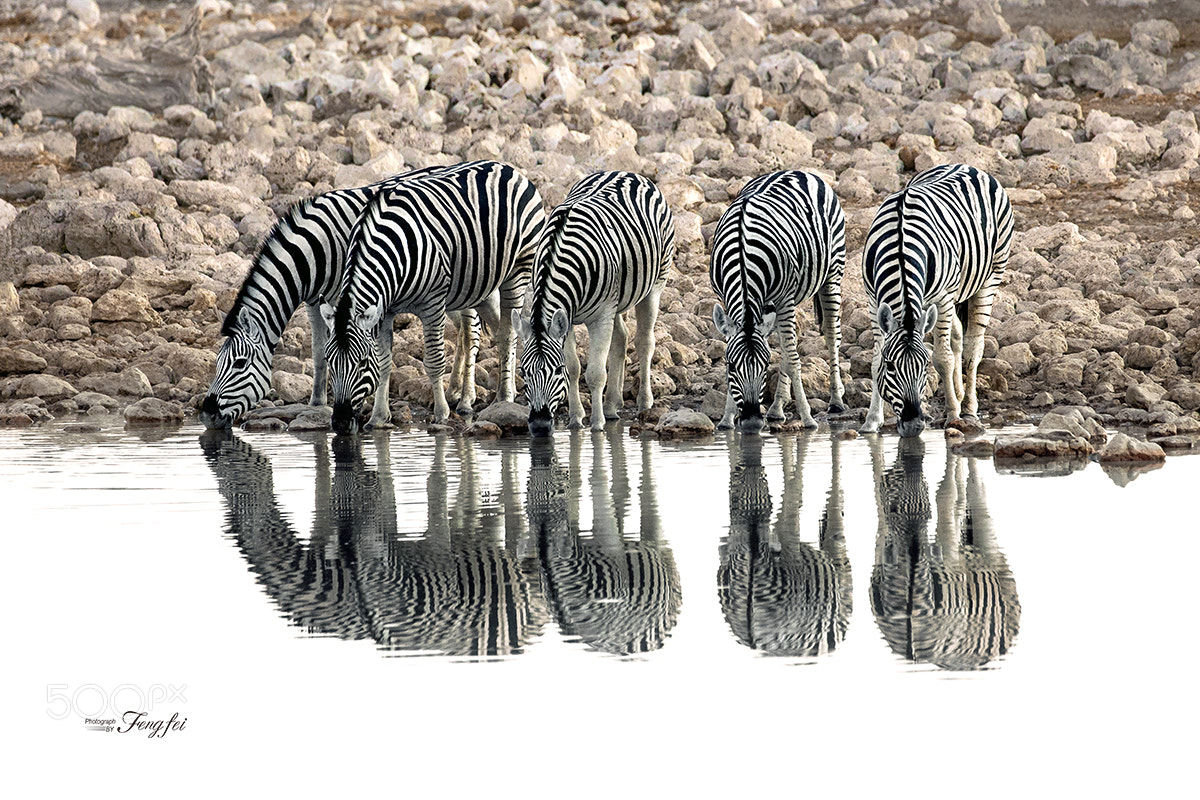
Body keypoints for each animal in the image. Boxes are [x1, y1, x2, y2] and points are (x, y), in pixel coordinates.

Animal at [199, 164, 483, 430]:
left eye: (239, 363)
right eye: (216, 362)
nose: (207, 415)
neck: (315, 252)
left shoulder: (345, 300)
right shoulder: (315, 302)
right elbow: (318, 353)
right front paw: (317, 403)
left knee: (471, 330)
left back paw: (466, 399)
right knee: (461, 330)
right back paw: (453, 390)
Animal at [323, 160, 545, 434]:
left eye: (363, 362)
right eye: (329, 361)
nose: (341, 423)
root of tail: (507, 167)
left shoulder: (432, 303)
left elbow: (433, 361)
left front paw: (441, 413)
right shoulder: (385, 311)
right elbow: (385, 362)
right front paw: (378, 416)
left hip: (518, 270)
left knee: (506, 334)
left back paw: (503, 398)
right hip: (478, 285)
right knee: (493, 331)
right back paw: (498, 393)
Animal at [512, 171, 674, 436]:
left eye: (555, 370)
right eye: (523, 372)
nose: (539, 426)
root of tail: (625, 172)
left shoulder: (600, 316)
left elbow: (596, 373)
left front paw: (596, 425)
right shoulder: (566, 319)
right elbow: (575, 368)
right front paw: (576, 419)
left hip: (655, 284)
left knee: (644, 342)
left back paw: (643, 402)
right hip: (617, 299)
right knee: (621, 337)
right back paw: (612, 405)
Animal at [709, 170, 847, 434]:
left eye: (764, 366)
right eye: (731, 366)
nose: (752, 422)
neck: (742, 257)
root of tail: (798, 171)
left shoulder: (784, 300)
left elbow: (793, 359)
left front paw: (808, 418)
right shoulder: (729, 298)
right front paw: (727, 418)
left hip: (831, 275)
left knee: (831, 334)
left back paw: (835, 401)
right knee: (787, 343)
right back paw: (776, 409)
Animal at [860, 163, 1014, 437]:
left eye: (924, 367)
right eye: (890, 366)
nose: (913, 425)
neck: (899, 246)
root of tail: (966, 165)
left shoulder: (942, 299)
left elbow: (942, 358)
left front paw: (953, 414)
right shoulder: (872, 300)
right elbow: (875, 357)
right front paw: (872, 421)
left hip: (990, 277)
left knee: (973, 348)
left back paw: (969, 409)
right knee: (957, 337)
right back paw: (959, 395)